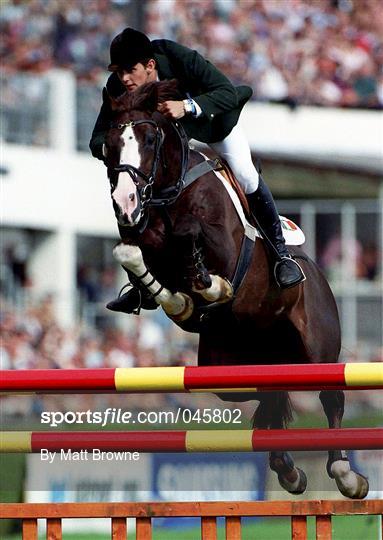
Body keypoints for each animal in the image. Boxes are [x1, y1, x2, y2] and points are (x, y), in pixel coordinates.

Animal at [102, 78, 368, 500]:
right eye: (109, 143)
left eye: (149, 138)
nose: (125, 204)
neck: (167, 195)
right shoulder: (137, 240)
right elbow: (130, 253)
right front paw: (181, 301)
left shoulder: (222, 244)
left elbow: (190, 234)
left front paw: (209, 287)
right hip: (233, 368)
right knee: (267, 393)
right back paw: (288, 470)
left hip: (318, 348)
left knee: (331, 395)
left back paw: (346, 474)